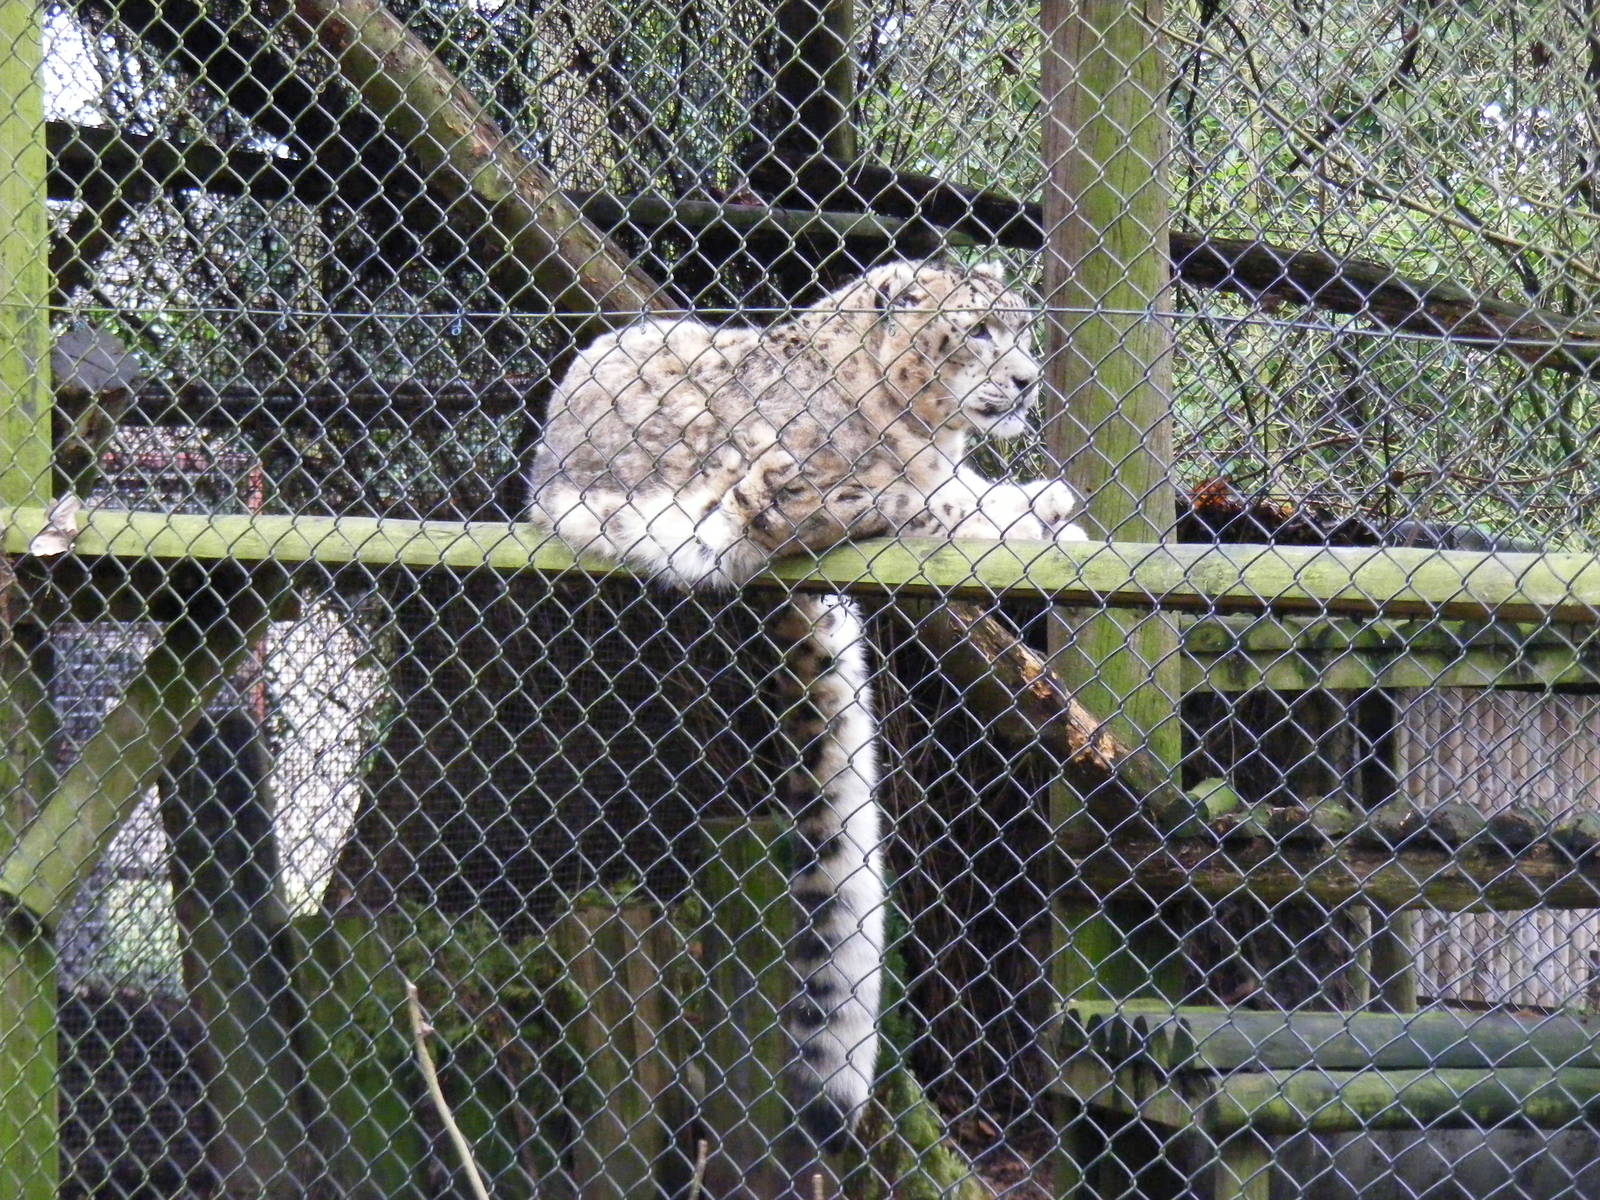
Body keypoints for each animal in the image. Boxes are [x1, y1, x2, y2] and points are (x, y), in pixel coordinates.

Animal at [526, 259, 1087, 1150]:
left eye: (1022, 327)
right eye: (978, 330)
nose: (1028, 380)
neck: (921, 430)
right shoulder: (814, 487)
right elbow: (925, 501)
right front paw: (1037, 509)